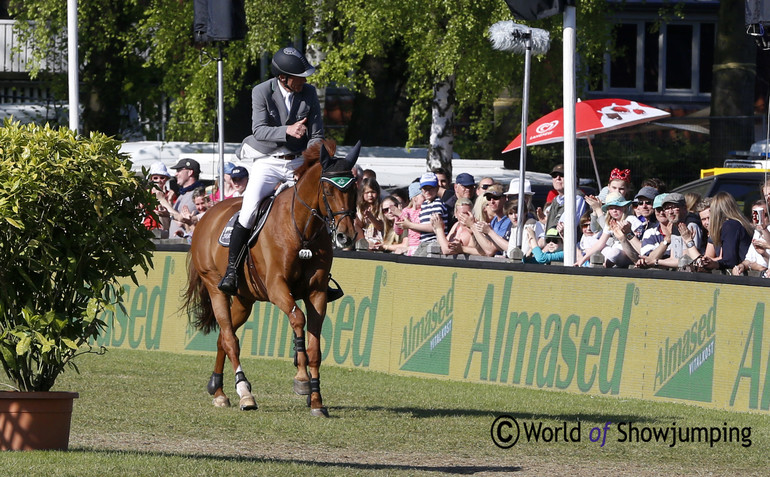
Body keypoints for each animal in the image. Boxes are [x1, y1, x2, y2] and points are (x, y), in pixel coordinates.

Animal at [184, 139, 360, 414]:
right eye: (329, 190)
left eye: (353, 189)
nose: (346, 236)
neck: (302, 230)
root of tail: (207, 216)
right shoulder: (277, 287)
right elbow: (298, 319)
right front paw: (301, 378)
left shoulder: (317, 292)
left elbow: (315, 347)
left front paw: (317, 400)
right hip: (215, 288)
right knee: (230, 339)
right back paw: (244, 393)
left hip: (244, 299)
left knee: (224, 337)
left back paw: (219, 390)